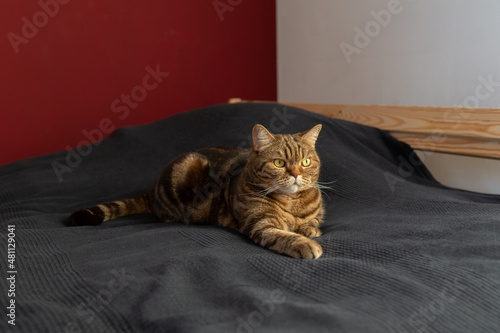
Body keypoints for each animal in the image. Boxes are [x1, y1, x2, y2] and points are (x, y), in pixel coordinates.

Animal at [69, 123, 324, 258]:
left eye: (306, 162)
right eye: (279, 163)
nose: (296, 174)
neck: (293, 203)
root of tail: (151, 189)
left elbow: (312, 222)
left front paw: (309, 230)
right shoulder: (262, 224)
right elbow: (283, 235)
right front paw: (306, 243)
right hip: (189, 168)